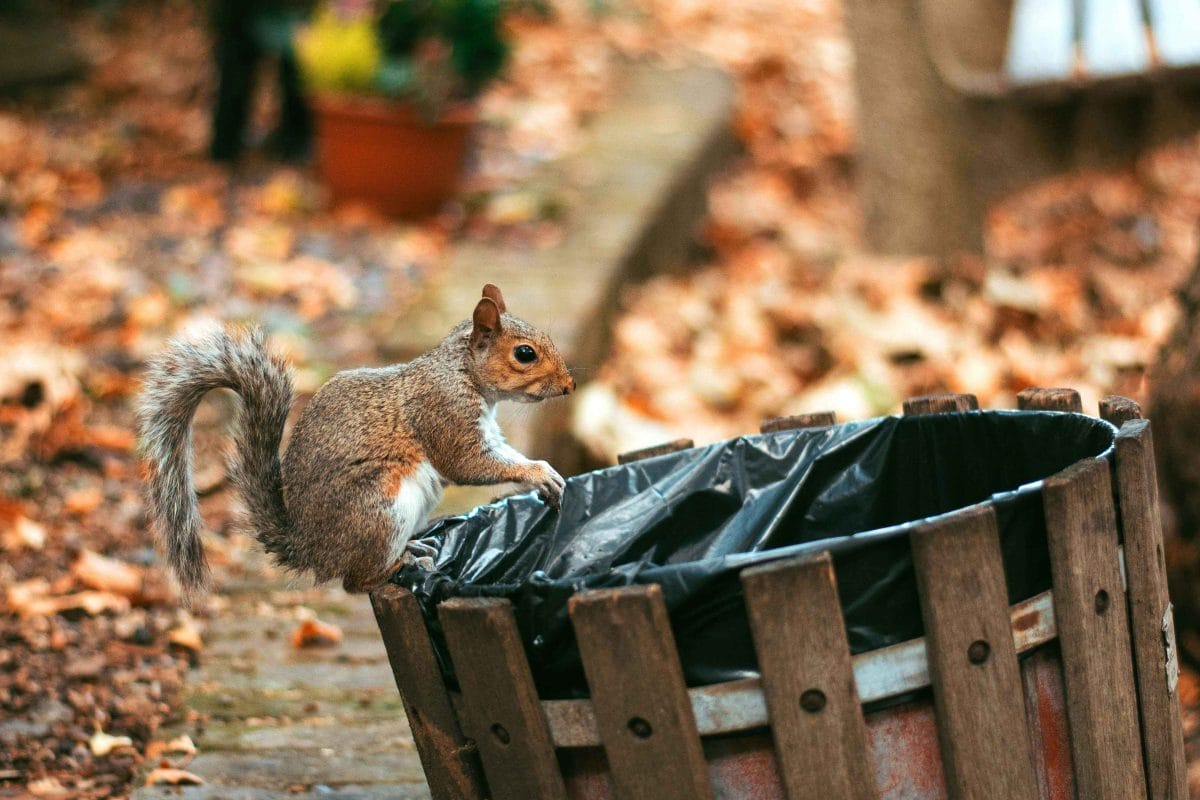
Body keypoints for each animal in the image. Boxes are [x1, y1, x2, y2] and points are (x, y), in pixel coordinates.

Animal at [137, 284, 574, 600]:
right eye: (524, 354)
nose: (569, 385)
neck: (462, 372)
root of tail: (312, 548)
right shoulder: (444, 414)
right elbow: (468, 464)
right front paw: (538, 474)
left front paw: (547, 473)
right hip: (380, 511)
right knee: (355, 582)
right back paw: (400, 565)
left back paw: (414, 551)